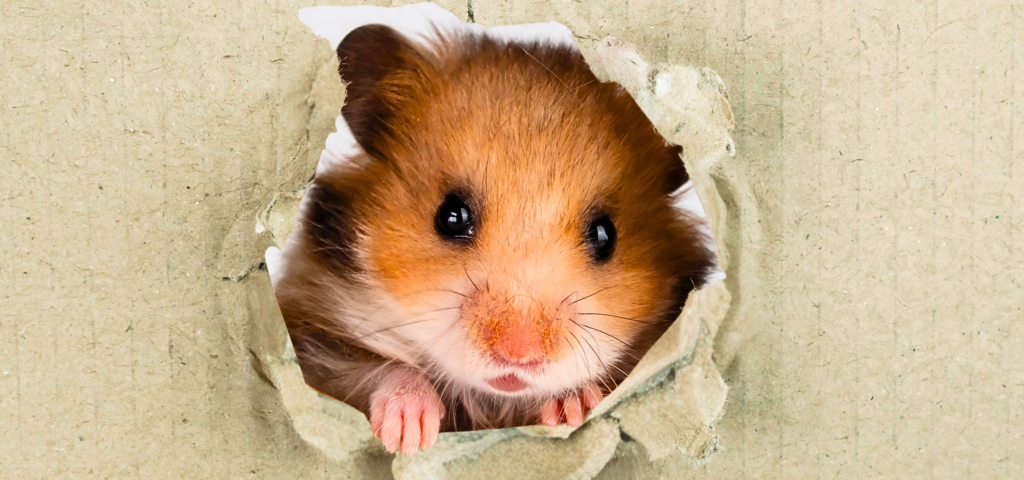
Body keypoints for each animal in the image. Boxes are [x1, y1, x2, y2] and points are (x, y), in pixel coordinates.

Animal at [273, 24, 718, 455]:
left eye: (605, 234)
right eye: (451, 216)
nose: (518, 355)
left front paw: (572, 405)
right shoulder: (314, 337)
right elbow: (380, 369)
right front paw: (410, 434)